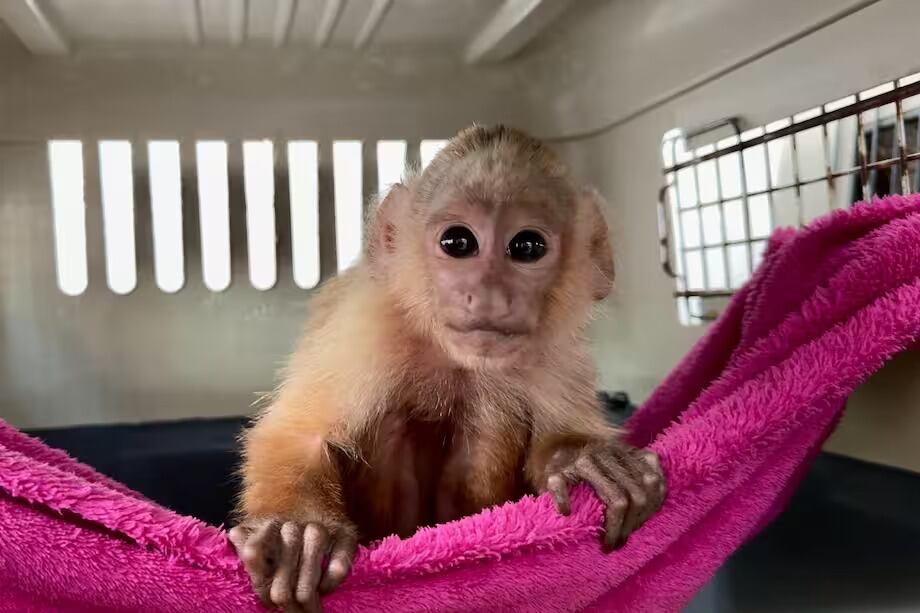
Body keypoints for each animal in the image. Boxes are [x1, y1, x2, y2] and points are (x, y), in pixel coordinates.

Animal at [228, 125, 666, 612]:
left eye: (527, 247)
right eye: (458, 243)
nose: (489, 295)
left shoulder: (556, 352)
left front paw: (581, 458)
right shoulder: (369, 326)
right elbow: (299, 435)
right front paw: (300, 530)